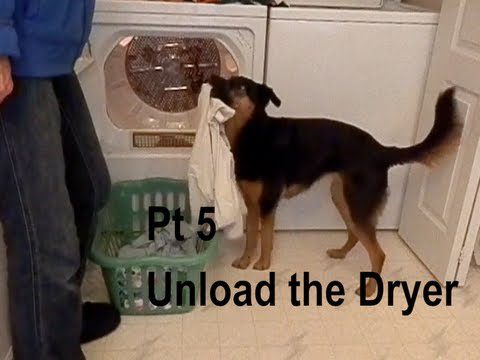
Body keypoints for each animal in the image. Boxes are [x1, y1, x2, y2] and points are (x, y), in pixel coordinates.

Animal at [209, 74, 462, 296]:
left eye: (241, 87)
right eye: (229, 79)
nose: (213, 78)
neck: (253, 132)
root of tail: (382, 151)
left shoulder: (268, 204)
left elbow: (266, 238)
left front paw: (263, 264)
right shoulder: (252, 205)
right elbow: (251, 237)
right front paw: (245, 261)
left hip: (356, 204)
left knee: (378, 253)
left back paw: (369, 290)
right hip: (343, 198)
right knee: (355, 234)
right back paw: (341, 253)